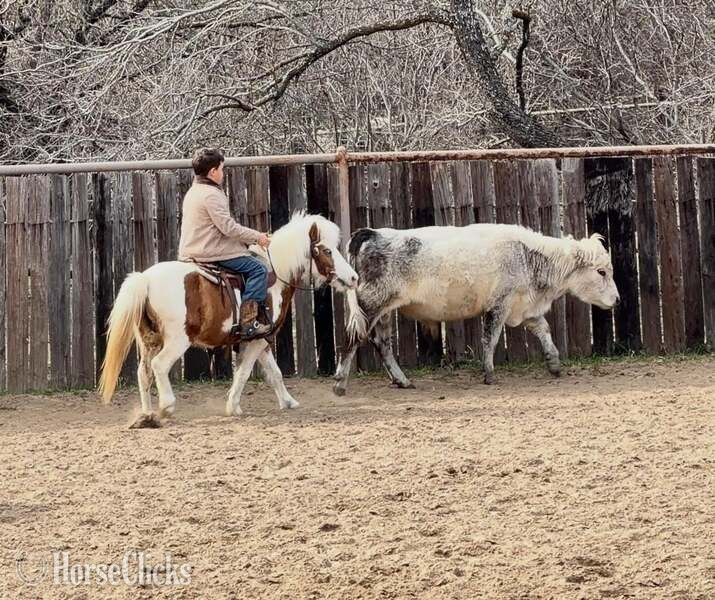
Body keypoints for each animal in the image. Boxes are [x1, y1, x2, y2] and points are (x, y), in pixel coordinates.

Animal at [98, 212, 360, 420]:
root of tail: (146, 279)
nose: (354, 277)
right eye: (327, 250)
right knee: (159, 366)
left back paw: (147, 414)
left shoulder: (260, 340)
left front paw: (288, 401)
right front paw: (233, 406)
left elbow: (274, 372)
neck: (275, 276)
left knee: (143, 373)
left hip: (148, 341)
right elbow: (244, 373)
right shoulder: (256, 340)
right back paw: (166, 407)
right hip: (176, 341)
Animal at [334, 223, 620, 394]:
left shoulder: (524, 308)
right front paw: (489, 374)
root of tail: (372, 233)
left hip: (383, 312)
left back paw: (402, 380)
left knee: (381, 343)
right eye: (601, 271)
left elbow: (544, 330)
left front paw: (554, 364)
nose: (617, 299)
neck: (526, 255)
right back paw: (339, 383)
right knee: (351, 339)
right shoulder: (499, 305)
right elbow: (490, 339)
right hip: (370, 305)